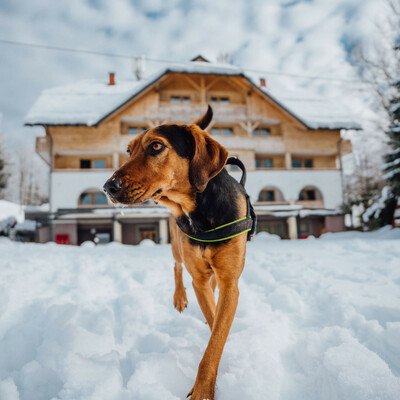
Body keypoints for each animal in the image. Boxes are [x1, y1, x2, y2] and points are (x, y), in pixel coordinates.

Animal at [103, 106, 253, 400]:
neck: (200, 212)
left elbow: (216, 333)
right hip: (177, 245)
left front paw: (204, 387)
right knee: (177, 266)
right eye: (129, 151)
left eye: (156, 146)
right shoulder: (200, 279)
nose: (108, 187)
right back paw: (180, 297)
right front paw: (205, 387)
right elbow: (214, 324)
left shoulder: (230, 282)